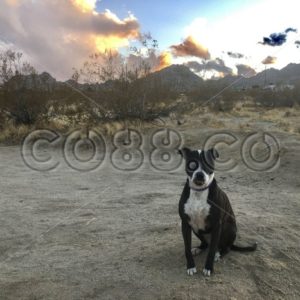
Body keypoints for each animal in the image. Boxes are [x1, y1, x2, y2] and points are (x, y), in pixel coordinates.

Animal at [178, 148, 258, 276]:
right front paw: (190, 266)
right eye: (192, 164)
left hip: (227, 228)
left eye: (208, 164)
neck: (199, 192)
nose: (199, 174)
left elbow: (211, 252)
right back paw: (198, 249)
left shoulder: (217, 225)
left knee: (224, 248)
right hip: (196, 229)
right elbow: (187, 248)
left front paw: (208, 268)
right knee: (206, 244)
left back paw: (219, 254)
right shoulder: (185, 224)